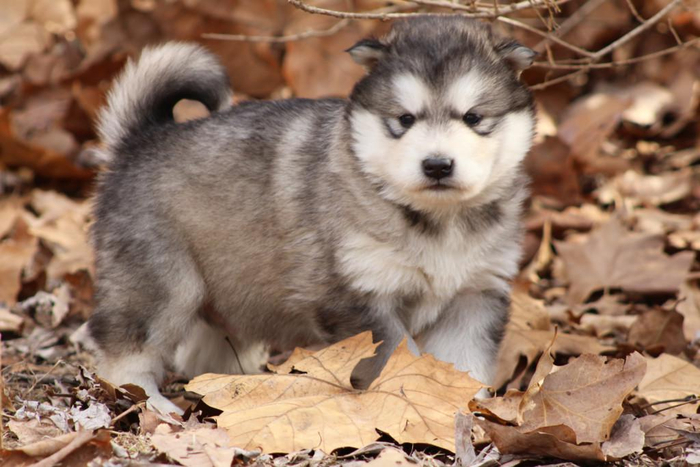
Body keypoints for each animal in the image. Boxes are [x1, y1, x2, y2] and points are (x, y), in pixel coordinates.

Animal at [88, 16, 536, 415]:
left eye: (473, 117)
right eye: (404, 120)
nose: (438, 165)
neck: (439, 221)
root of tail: (143, 138)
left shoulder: (475, 295)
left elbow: (463, 364)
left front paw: (460, 410)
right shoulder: (360, 298)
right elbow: (396, 356)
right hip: (162, 283)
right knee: (126, 349)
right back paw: (152, 403)